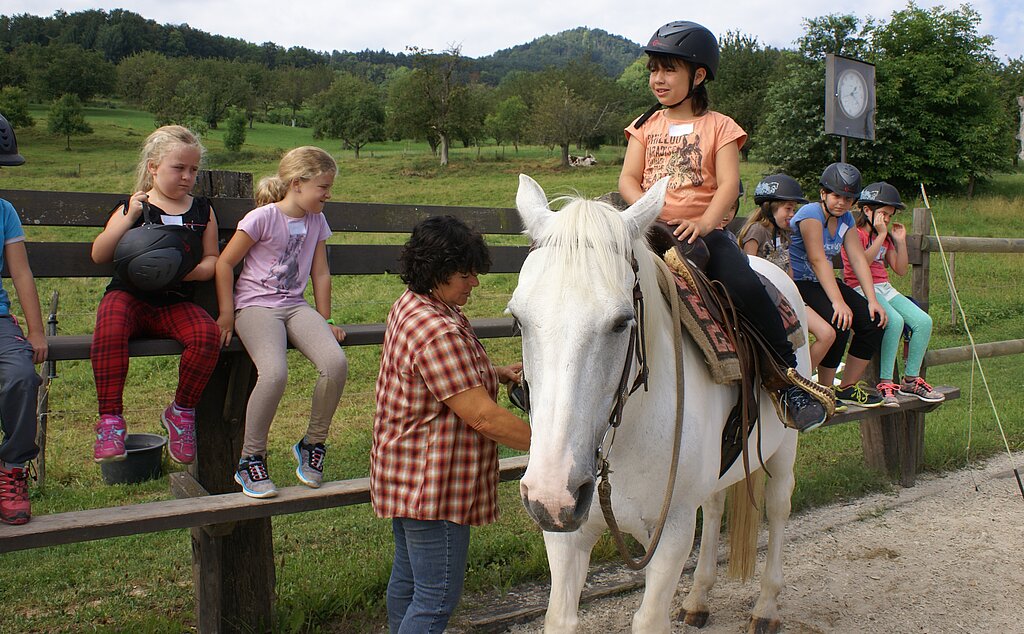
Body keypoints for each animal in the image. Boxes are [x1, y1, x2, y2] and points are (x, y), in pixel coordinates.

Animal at [512, 176, 806, 634]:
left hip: (784, 448)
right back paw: (699, 598)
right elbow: (561, 617)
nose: (553, 493)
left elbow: (650, 619)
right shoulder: (566, 534)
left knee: (778, 507)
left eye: (621, 323)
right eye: (518, 320)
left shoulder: (671, 534)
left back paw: (766, 607)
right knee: (716, 505)